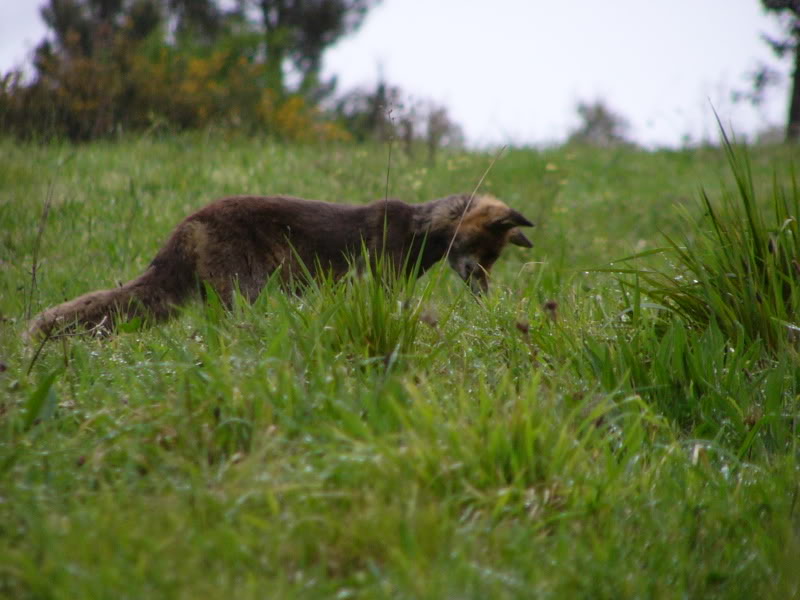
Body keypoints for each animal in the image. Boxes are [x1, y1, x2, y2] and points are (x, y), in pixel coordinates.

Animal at [25, 195, 536, 340]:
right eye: (482, 255)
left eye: (493, 261)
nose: (484, 295)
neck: (419, 230)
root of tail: (190, 220)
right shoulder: (381, 280)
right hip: (241, 291)